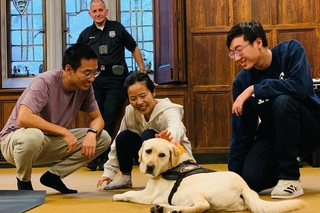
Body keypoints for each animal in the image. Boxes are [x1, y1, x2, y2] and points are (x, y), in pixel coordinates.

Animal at [112, 138, 304, 213]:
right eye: (148, 151)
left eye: (162, 155)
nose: (150, 167)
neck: (173, 166)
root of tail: (244, 187)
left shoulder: (147, 195)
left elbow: (130, 193)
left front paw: (118, 196)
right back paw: (164, 208)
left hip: (192, 191)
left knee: (202, 206)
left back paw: (172, 209)